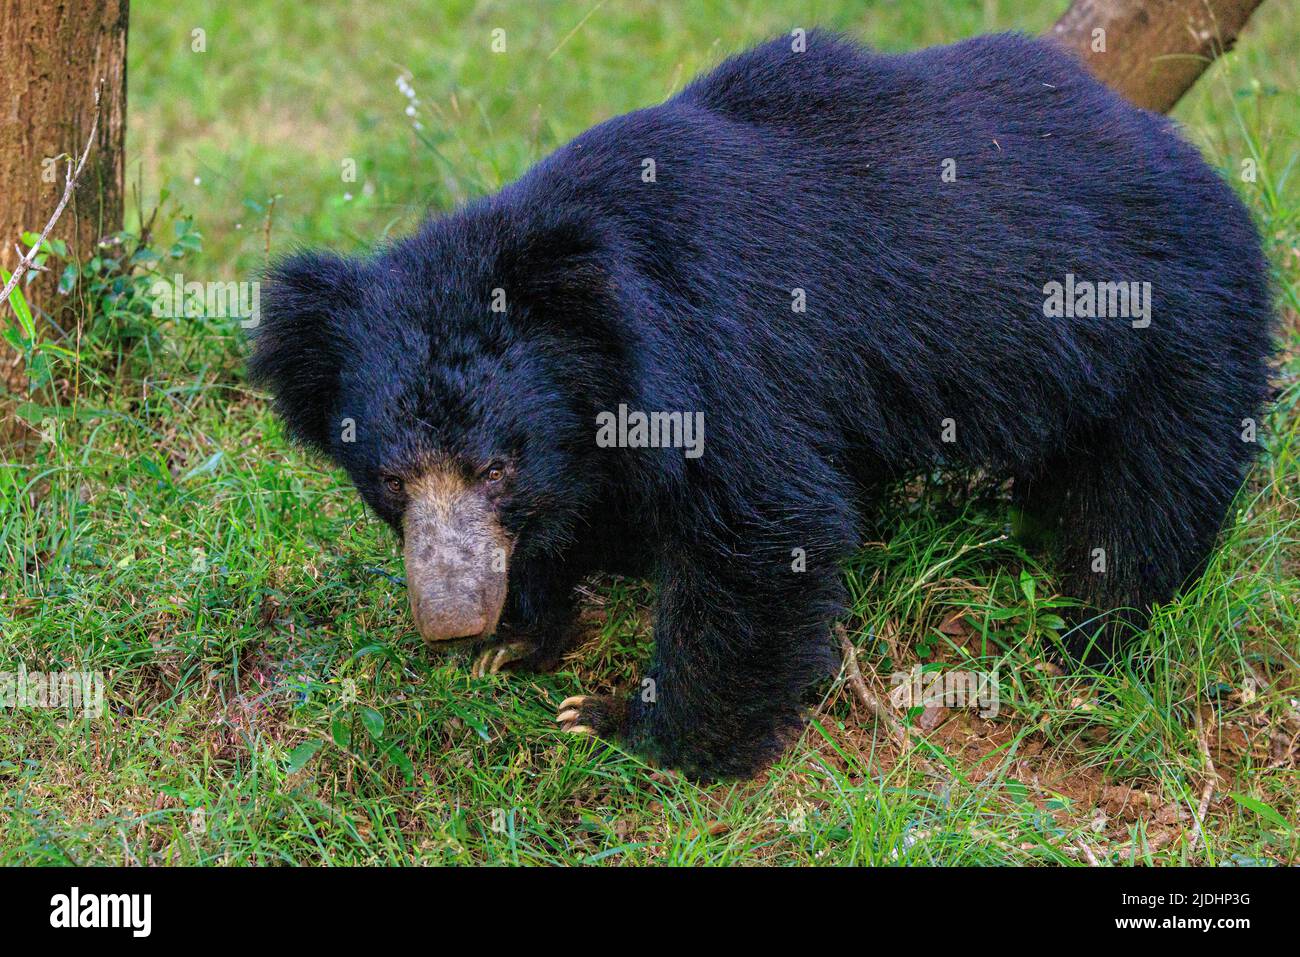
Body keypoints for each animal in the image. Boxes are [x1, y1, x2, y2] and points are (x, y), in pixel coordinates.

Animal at [250, 31, 1268, 780]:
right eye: (391, 481)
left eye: (496, 466)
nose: (453, 615)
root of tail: (1183, 157)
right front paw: (518, 639)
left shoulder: (723, 357)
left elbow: (762, 532)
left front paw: (621, 724)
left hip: (1175, 333)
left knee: (1143, 504)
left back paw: (1095, 633)